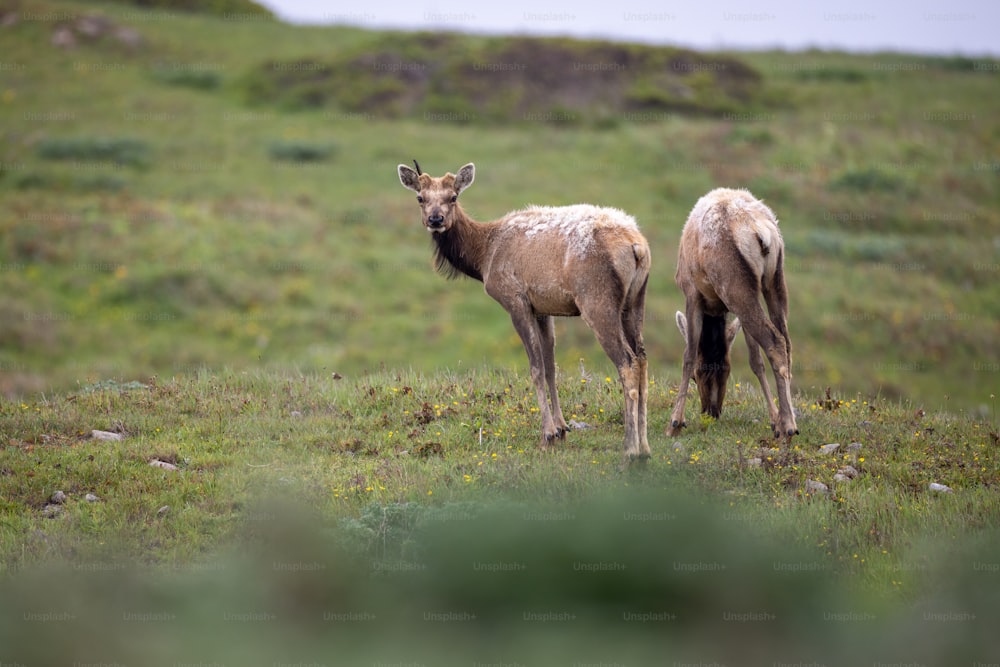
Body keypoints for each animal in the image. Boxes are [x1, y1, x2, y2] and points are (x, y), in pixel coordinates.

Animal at [398, 162, 656, 464]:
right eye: (420, 197)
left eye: (453, 196)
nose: (436, 219)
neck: (483, 257)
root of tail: (637, 246)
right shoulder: (543, 308)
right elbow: (551, 366)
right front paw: (562, 428)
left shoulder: (515, 299)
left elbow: (535, 368)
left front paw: (547, 435)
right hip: (636, 299)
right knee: (642, 358)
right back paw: (646, 446)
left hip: (596, 299)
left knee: (626, 362)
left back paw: (630, 448)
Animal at [668, 187, 800, 444]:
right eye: (727, 370)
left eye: (697, 375)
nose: (711, 412)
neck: (715, 310)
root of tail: (761, 231)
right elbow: (755, 361)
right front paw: (773, 420)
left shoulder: (691, 291)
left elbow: (688, 354)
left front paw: (676, 422)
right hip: (773, 281)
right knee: (786, 343)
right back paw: (787, 420)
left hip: (734, 284)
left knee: (775, 342)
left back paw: (788, 427)